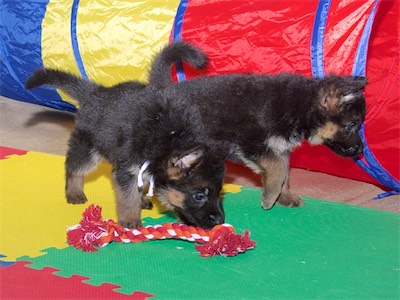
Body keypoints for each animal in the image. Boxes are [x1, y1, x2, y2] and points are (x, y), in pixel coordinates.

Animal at [25, 69, 227, 229]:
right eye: (199, 196)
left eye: (219, 194)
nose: (220, 221)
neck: (171, 138)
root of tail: (96, 92)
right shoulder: (127, 171)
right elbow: (128, 196)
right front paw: (130, 219)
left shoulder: (142, 169)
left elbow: (139, 188)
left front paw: (141, 201)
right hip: (89, 151)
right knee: (73, 168)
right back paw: (74, 191)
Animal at [148, 41, 368, 211]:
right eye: (351, 125)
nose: (360, 150)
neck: (299, 106)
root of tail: (163, 89)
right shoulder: (251, 144)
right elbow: (278, 170)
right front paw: (270, 197)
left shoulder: (280, 149)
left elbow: (285, 173)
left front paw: (284, 196)